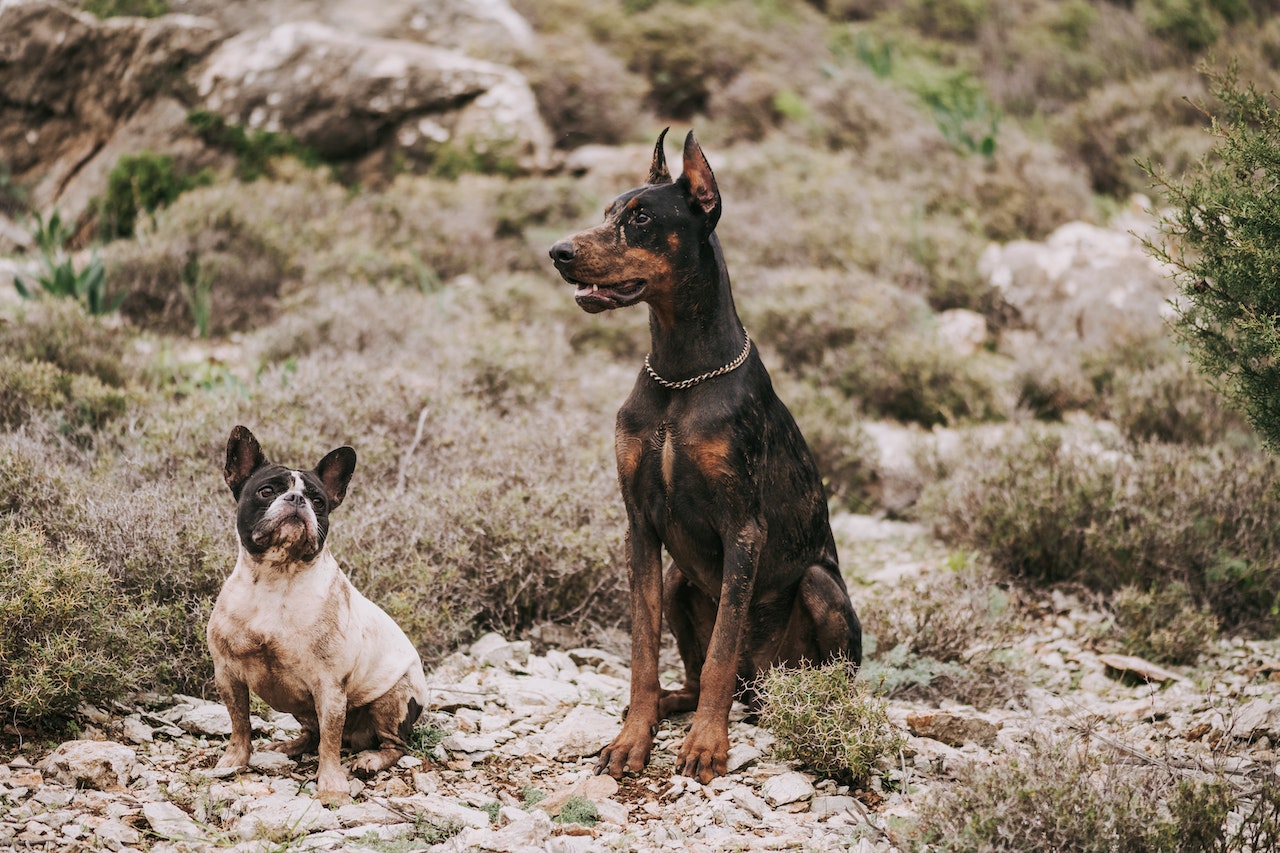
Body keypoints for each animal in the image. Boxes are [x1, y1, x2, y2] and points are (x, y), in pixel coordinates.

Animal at [208, 425, 430, 804]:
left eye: (319, 502)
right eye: (266, 491)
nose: (297, 500)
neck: (277, 578)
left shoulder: (329, 688)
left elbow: (330, 741)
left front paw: (332, 784)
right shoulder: (228, 675)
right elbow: (240, 723)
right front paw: (234, 760)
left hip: (393, 701)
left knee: (392, 743)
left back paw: (371, 759)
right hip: (301, 707)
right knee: (312, 734)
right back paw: (290, 746)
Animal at [547, 131, 860, 778]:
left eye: (642, 217)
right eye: (609, 210)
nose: (558, 252)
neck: (681, 376)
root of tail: (761, 689)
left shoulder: (743, 527)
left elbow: (722, 648)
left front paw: (707, 745)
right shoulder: (639, 526)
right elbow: (644, 649)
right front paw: (632, 737)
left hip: (820, 587)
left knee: (791, 674)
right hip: (676, 582)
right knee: (691, 676)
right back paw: (669, 704)